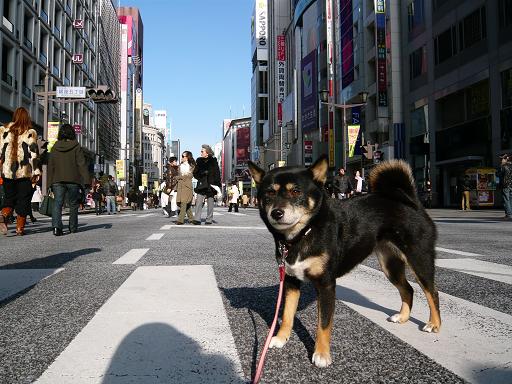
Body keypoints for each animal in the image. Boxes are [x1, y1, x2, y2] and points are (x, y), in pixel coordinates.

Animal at [248, 156, 440, 368]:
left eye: (296, 191)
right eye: (269, 193)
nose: (277, 213)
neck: (302, 235)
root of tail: (411, 201)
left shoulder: (326, 284)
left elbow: (323, 324)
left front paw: (322, 354)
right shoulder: (290, 280)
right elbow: (287, 315)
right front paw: (281, 338)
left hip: (419, 258)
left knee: (432, 293)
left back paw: (434, 324)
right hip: (390, 266)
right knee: (408, 289)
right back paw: (403, 317)